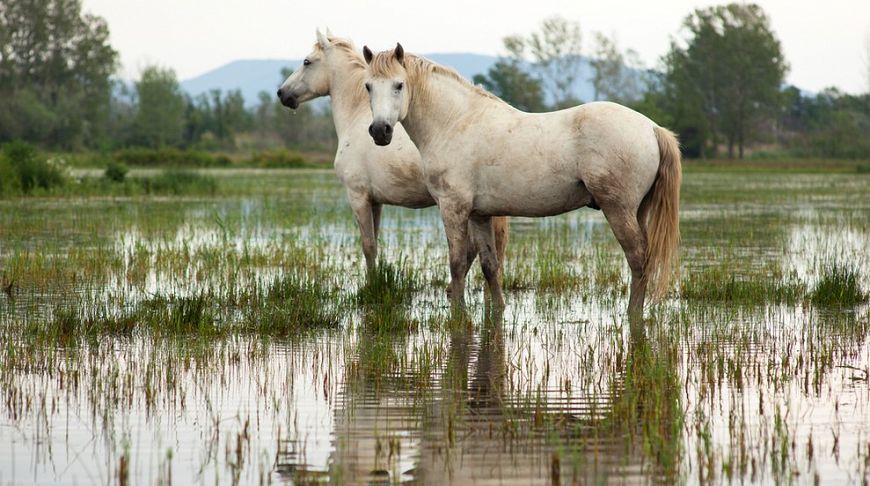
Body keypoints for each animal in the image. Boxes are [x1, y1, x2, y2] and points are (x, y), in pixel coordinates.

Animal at [280, 31, 508, 278]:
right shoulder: (375, 201)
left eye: (307, 62)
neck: (355, 114)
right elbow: (375, 242)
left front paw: (372, 283)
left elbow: (368, 246)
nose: (282, 93)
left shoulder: (358, 196)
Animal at [362, 43, 680, 314]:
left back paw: (632, 314)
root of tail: (652, 128)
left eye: (399, 85)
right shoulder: (479, 214)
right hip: (638, 210)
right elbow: (489, 265)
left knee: (637, 257)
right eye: (368, 86)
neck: (455, 122)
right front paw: (498, 310)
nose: (379, 131)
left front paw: (458, 316)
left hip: (619, 209)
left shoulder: (453, 208)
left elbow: (456, 264)